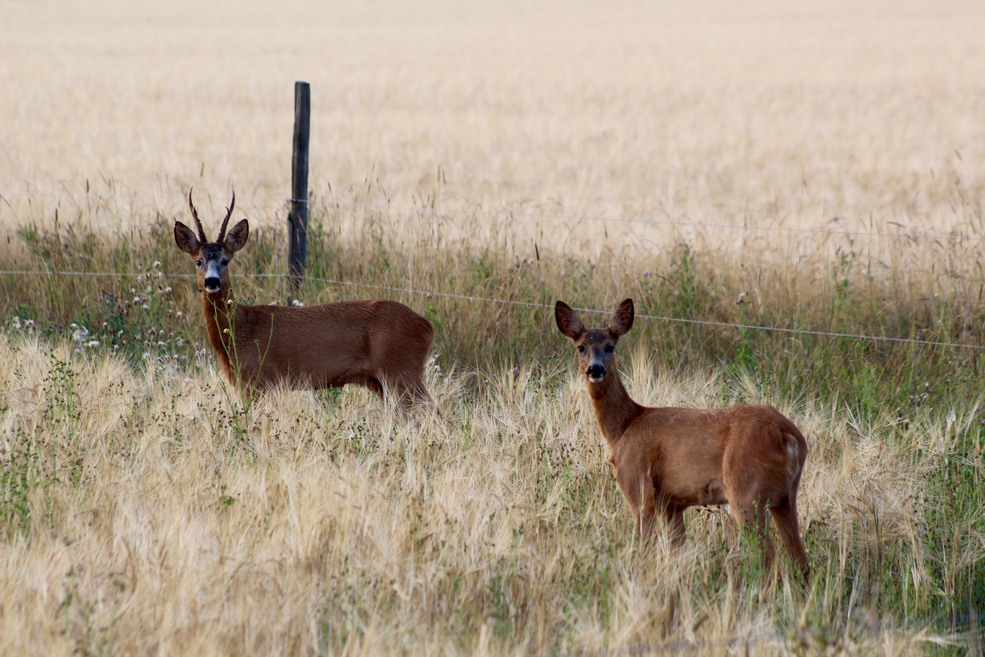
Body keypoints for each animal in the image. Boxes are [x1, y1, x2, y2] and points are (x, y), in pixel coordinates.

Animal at [174, 188, 434, 404]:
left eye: (225, 260)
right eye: (198, 261)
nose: (212, 281)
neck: (239, 331)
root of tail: (427, 326)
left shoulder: (258, 379)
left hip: (401, 370)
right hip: (383, 381)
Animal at [548, 298, 812, 576]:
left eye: (610, 346)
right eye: (581, 347)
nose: (595, 369)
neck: (623, 429)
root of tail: (791, 438)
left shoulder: (638, 485)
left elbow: (643, 544)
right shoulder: (672, 503)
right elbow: (677, 549)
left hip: (746, 488)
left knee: (767, 555)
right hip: (786, 495)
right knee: (799, 557)